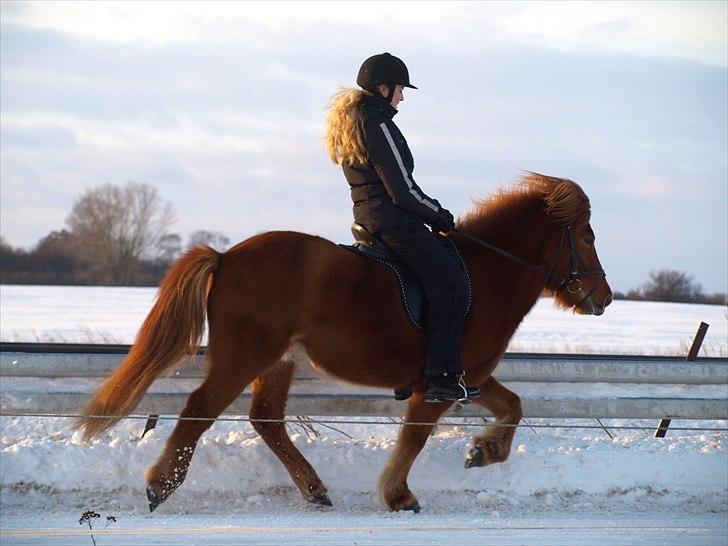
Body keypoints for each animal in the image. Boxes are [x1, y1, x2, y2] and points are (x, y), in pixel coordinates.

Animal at [74, 173, 612, 510]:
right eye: (587, 238)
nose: (603, 298)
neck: (486, 274)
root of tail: (225, 256)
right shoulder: (438, 383)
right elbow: (416, 435)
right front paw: (399, 495)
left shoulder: (469, 375)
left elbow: (513, 406)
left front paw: (483, 452)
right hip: (244, 356)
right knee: (199, 410)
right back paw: (160, 486)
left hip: (278, 361)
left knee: (265, 420)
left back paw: (314, 489)